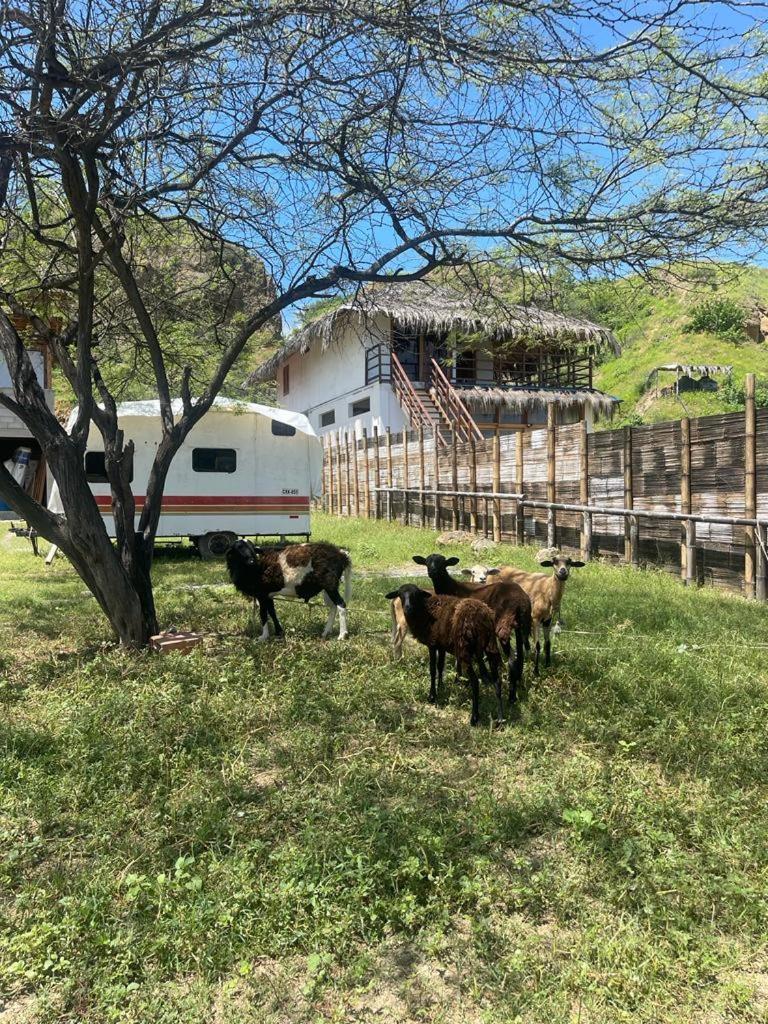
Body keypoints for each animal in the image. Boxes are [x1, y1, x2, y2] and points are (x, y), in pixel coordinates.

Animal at [385, 585, 505, 729]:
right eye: (401, 594)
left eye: (415, 594)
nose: (407, 608)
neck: (425, 611)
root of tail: (482, 616)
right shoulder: (440, 645)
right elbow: (440, 666)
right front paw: (441, 687)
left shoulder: (432, 644)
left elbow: (432, 669)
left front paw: (432, 696)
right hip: (490, 646)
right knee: (497, 681)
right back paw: (500, 719)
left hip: (464, 649)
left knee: (475, 682)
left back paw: (474, 718)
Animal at [411, 552, 532, 704]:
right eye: (427, 562)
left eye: (443, 563)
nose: (432, 571)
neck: (452, 588)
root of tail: (522, 602)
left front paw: (458, 679)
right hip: (520, 626)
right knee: (520, 654)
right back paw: (519, 682)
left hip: (503, 625)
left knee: (512, 658)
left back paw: (511, 695)